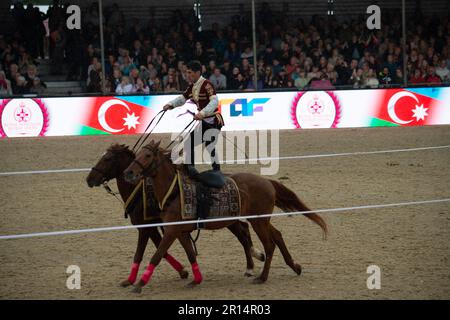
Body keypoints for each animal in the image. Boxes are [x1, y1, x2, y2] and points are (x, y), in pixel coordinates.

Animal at [86, 144, 266, 288]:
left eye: (107, 158)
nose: (89, 179)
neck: (139, 190)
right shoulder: (158, 228)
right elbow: (161, 250)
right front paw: (183, 272)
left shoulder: (147, 228)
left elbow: (146, 252)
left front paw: (132, 280)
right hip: (229, 220)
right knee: (243, 231)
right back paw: (253, 262)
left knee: (243, 233)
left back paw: (253, 263)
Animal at [123, 140, 326, 292]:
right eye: (137, 154)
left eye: (147, 155)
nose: (129, 172)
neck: (174, 192)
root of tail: (266, 181)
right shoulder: (180, 232)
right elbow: (190, 254)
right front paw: (196, 279)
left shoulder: (172, 231)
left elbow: (156, 255)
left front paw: (139, 284)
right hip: (260, 220)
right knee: (277, 235)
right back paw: (294, 266)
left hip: (259, 221)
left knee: (269, 245)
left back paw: (262, 277)